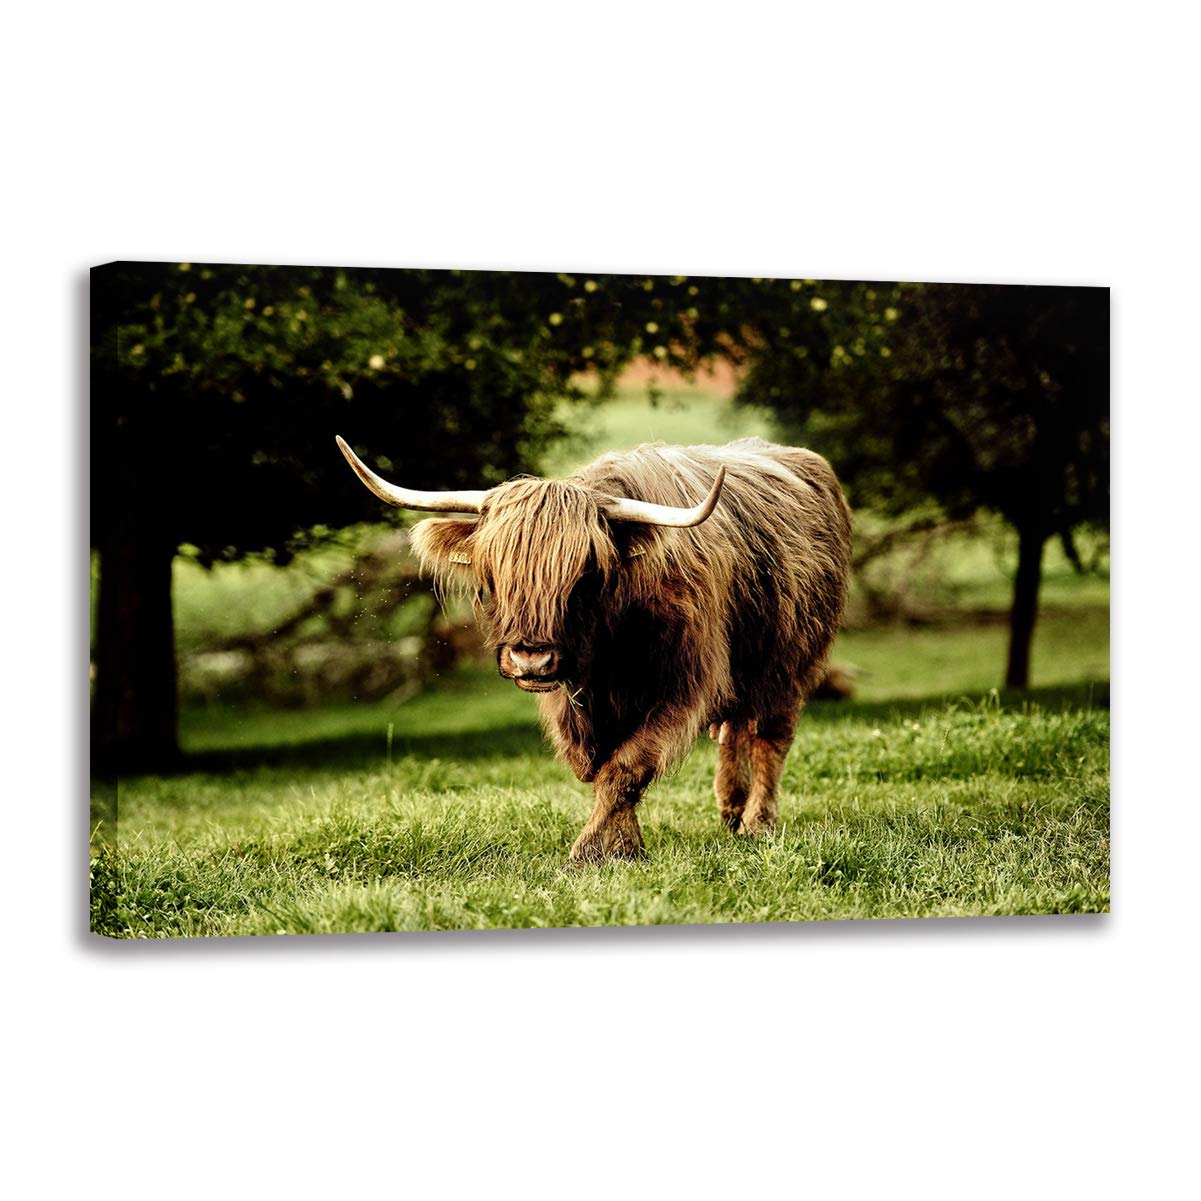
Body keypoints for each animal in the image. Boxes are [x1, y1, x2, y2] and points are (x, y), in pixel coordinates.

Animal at [337, 434, 853, 866]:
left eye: (585, 575)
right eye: (493, 575)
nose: (530, 658)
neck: (610, 648)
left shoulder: (684, 683)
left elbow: (626, 768)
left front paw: (588, 853)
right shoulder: (570, 702)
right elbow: (596, 766)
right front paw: (626, 846)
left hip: (790, 662)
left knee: (769, 736)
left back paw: (756, 823)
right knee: (733, 730)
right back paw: (729, 808)